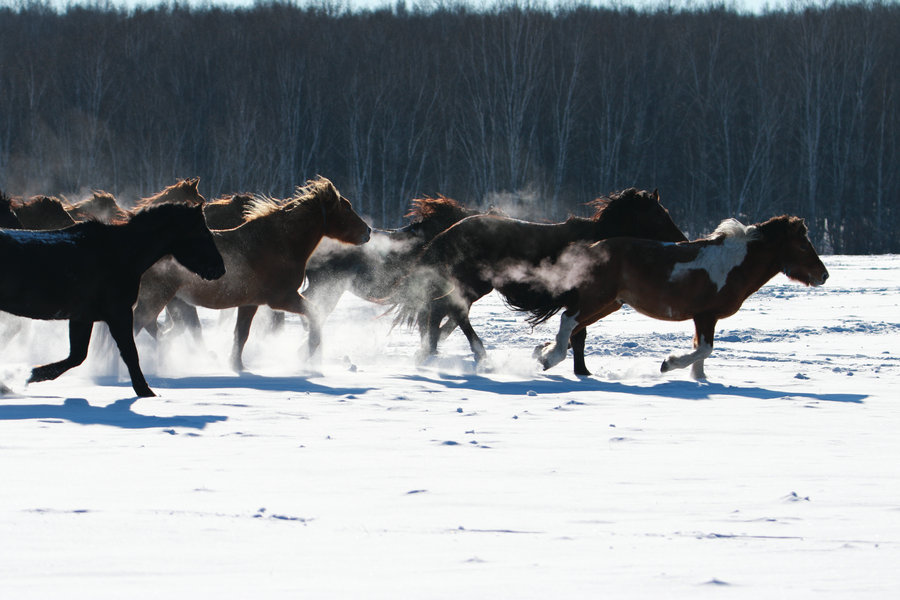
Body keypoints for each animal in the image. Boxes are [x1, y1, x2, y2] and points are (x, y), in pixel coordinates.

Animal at [0, 204, 225, 396]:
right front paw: (146, 391)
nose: (220, 269)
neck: (119, 253)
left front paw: (32, 375)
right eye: (203, 233)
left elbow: (77, 357)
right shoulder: (119, 314)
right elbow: (130, 353)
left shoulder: (82, 317)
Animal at [132, 176, 370, 370]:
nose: (368, 231)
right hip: (158, 297)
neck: (279, 242)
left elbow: (241, 335)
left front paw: (237, 366)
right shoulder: (282, 299)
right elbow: (315, 313)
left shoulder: (250, 303)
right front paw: (306, 351)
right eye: (346, 208)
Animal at [390, 189, 684, 370]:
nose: (682, 240)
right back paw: (477, 354)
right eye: (659, 214)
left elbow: (577, 335)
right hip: (473, 285)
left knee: (441, 313)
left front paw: (573, 366)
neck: (597, 238)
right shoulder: (579, 300)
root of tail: (450, 231)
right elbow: (577, 335)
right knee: (452, 312)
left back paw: (430, 353)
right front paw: (572, 366)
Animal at [528, 216, 828, 380]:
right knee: (568, 320)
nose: (823, 275)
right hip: (598, 298)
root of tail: (593, 248)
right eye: (803, 245)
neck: (734, 264)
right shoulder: (705, 315)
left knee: (573, 327)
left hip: (608, 303)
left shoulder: (706, 318)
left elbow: (702, 352)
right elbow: (704, 349)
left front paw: (700, 379)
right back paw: (550, 358)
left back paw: (544, 353)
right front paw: (669, 364)